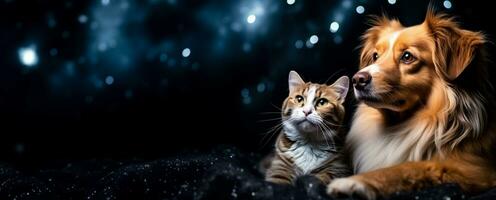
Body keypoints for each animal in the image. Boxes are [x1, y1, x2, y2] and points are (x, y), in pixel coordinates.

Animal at [326, 7, 496, 198]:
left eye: (407, 56)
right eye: (375, 56)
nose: (357, 80)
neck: (398, 126)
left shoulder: (474, 169)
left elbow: (404, 168)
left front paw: (353, 183)